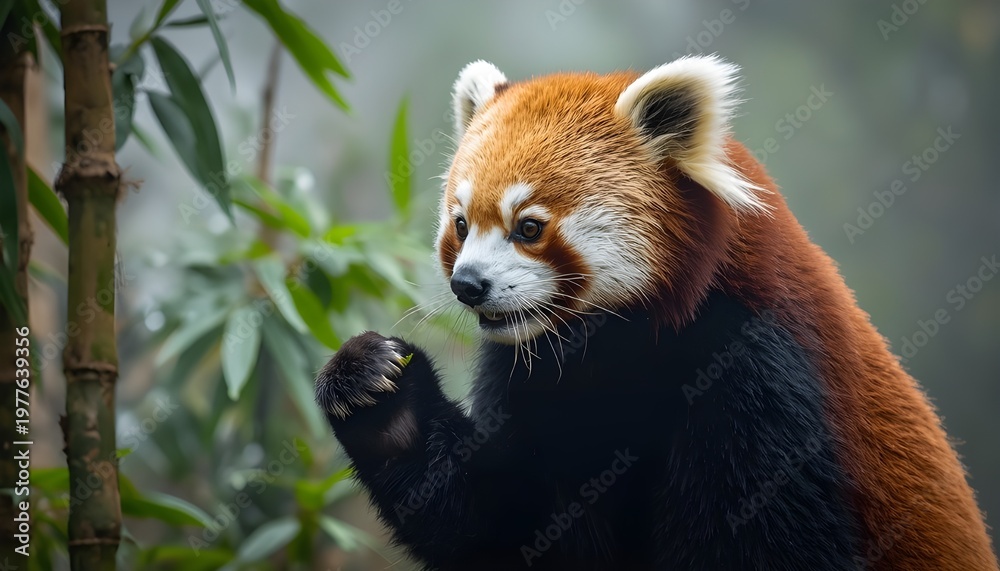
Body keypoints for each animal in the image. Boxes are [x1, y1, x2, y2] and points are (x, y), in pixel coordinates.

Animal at [314, 56, 998, 570]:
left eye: (529, 227)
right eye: (461, 224)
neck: (616, 347)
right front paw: (375, 389)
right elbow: (496, 526)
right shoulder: (531, 382)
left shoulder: (759, 374)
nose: (468, 285)